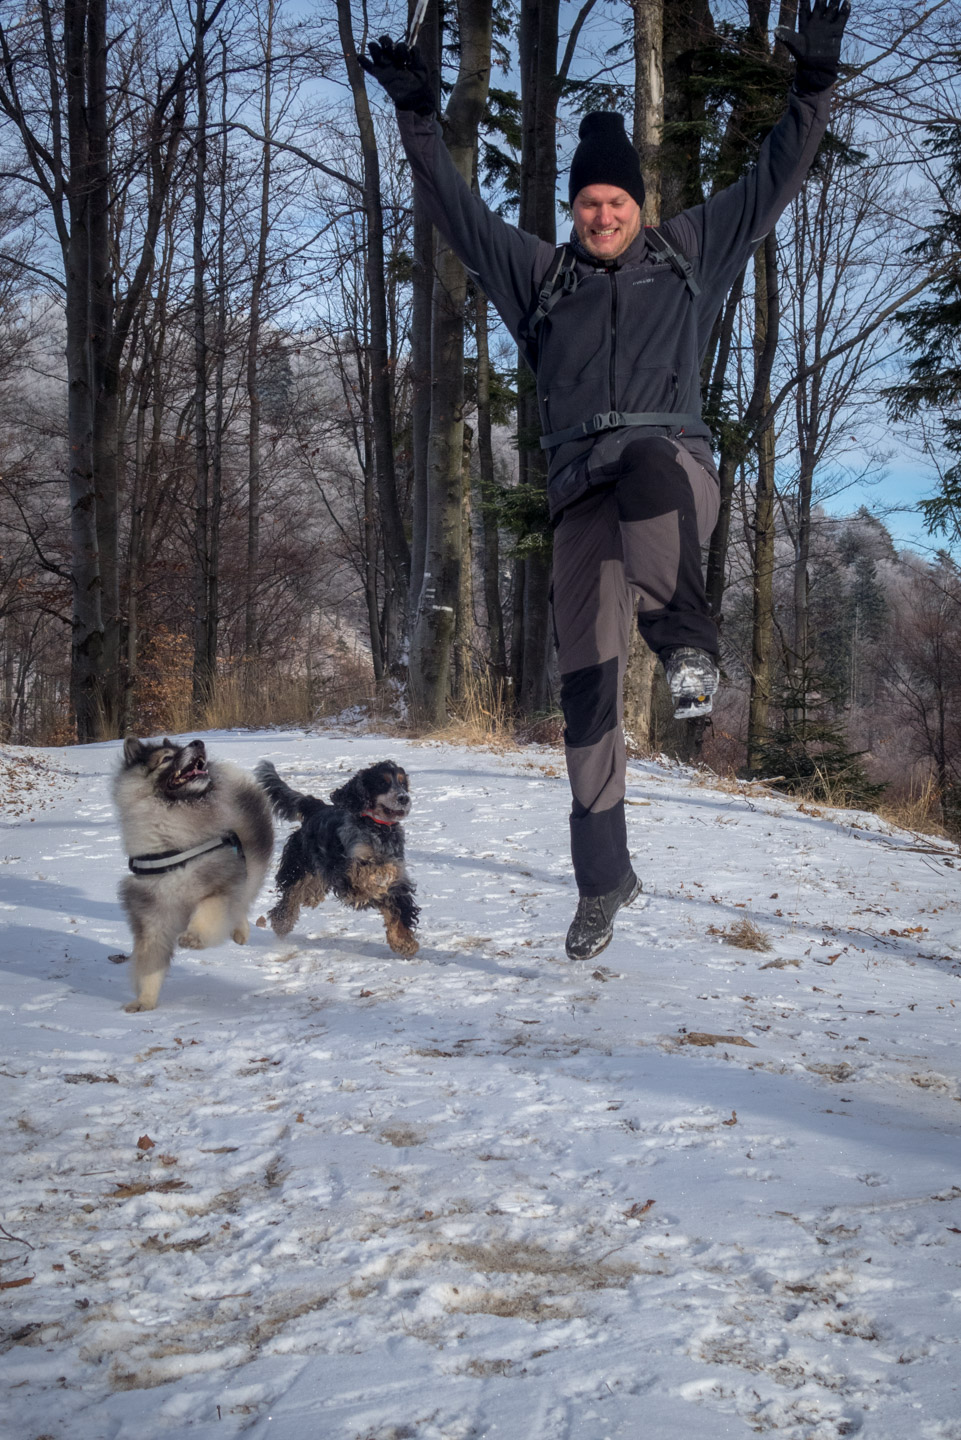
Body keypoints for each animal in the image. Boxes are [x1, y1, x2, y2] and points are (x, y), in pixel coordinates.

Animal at [115, 737, 278, 1008]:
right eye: (166, 758)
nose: (198, 742)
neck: (173, 846)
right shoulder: (153, 919)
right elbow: (150, 965)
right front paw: (144, 1001)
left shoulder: (218, 887)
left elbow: (207, 913)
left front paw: (193, 937)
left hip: (247, 871)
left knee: (241, 904)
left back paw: (240, 932)